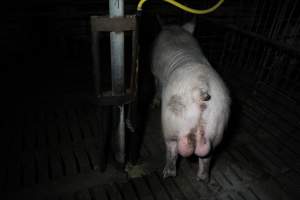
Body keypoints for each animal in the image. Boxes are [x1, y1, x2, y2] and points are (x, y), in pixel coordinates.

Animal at [151, 18, 231, 181]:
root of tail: (200, 88)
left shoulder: (155, 73)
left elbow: (157, 87)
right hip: (217, 125)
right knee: (207, 156)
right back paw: (202, 179)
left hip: (171, 125)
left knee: (172, 150)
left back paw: (167, 174)